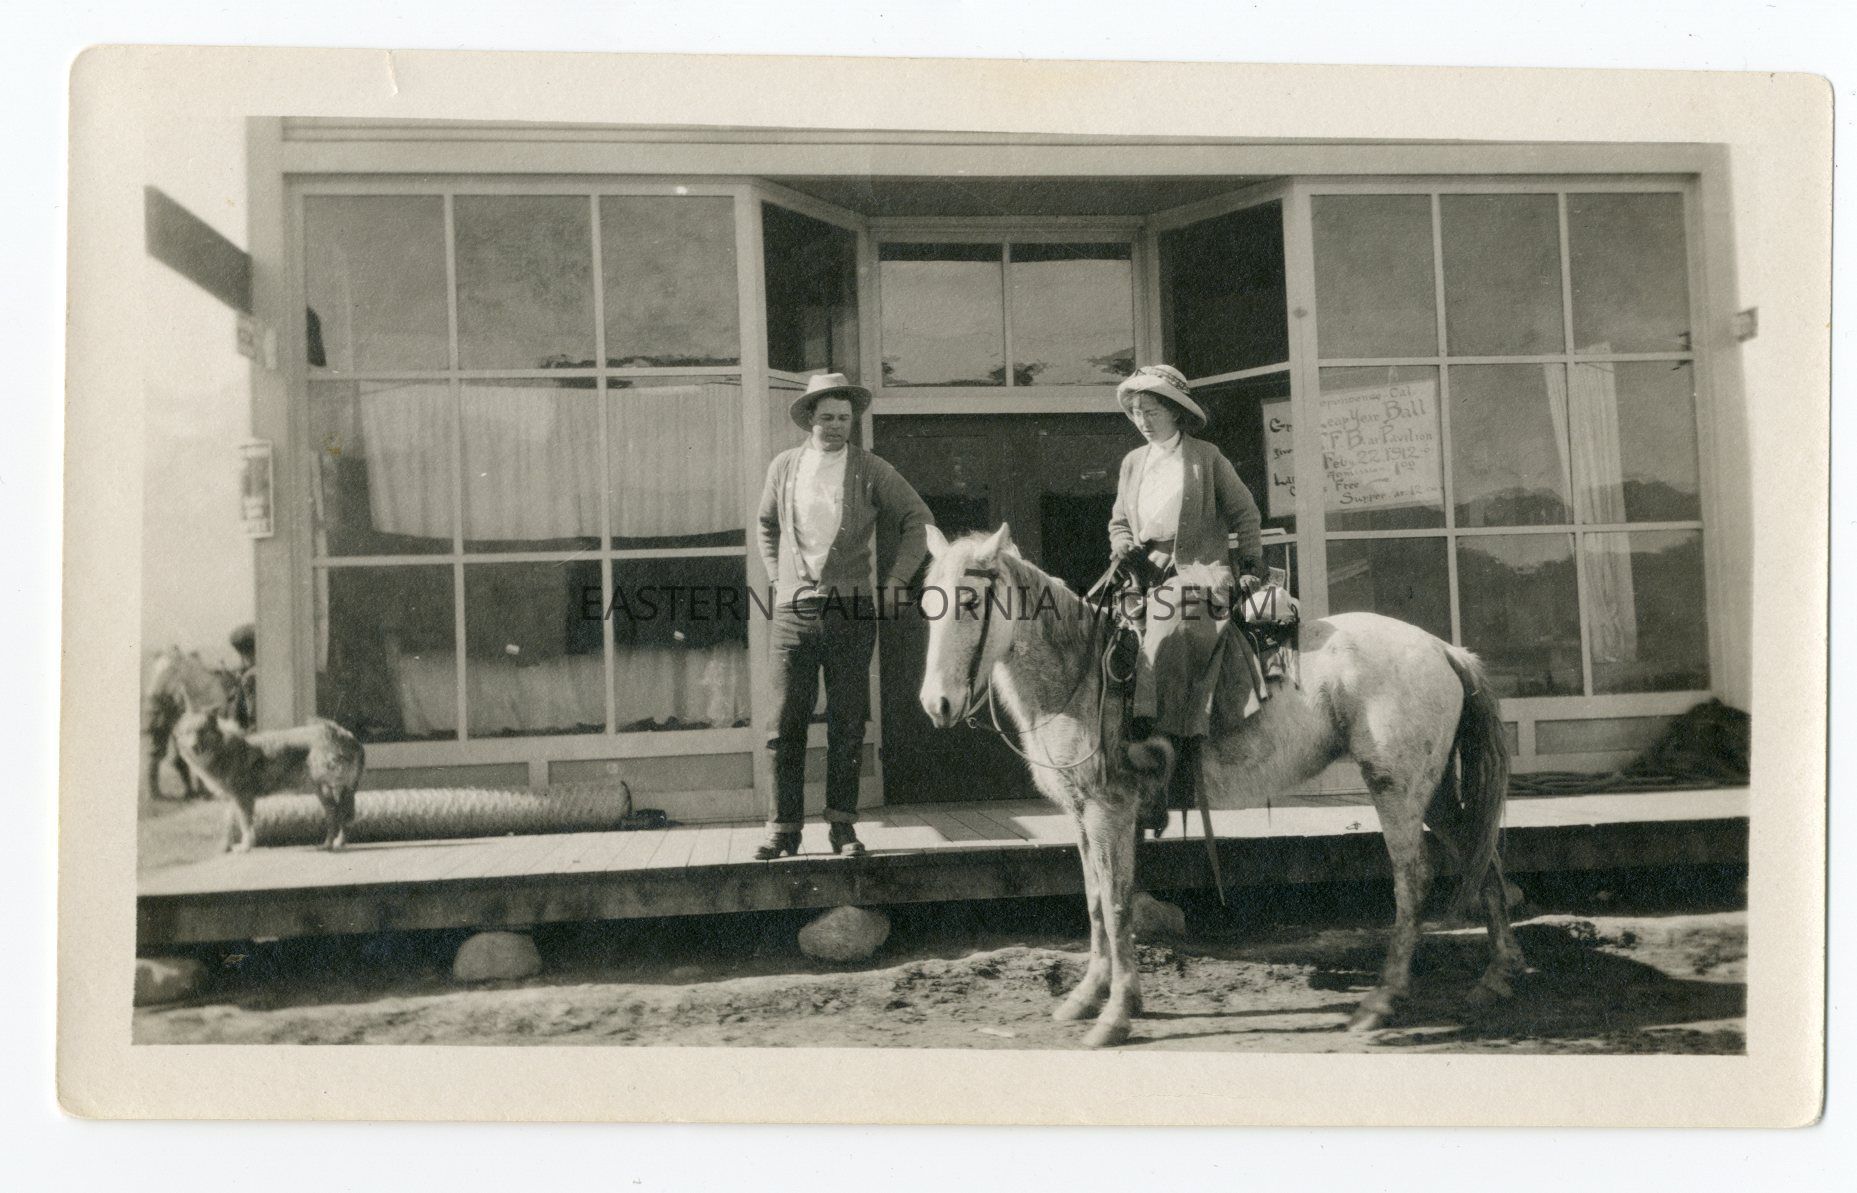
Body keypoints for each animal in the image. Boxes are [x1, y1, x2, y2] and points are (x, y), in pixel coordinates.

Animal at [173, 711, 366, 852]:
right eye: (187, 733)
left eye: (202, 731)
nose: (194, 746)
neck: (224, 750)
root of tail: (347, 735)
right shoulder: (236, 800)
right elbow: (236, 823)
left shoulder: (243, 798)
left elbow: (245, 825)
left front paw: (245, 847)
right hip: (326, 792)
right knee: (339, 817)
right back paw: (332, 844)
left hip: (329, 789)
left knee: (339, 815)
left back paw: (333, 844)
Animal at [916, 523, 1522, 1047]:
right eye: (928, 604)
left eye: (970, 602)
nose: (936, 704)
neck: (1082, 676)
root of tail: (1444, 649)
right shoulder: (1081, 813)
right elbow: (1092, 902)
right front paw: (1087, 998)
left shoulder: (1110, 810)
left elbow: (1116, 904)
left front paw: (1115, 1016)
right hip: (1432, 792)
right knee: (1483, 857)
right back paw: (1496, 977)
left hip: (1395, 788)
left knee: (1413, 880)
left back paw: (1381, 1001)